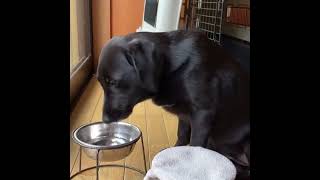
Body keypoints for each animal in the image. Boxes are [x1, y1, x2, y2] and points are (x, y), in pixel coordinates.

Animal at [97, 29, 250, 179]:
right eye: (101, 82)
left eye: (113, 82)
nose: (105, 120)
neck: (172, 69)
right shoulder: (184, 115)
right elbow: (181, 136)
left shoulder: (203, 113)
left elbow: (195, 146)